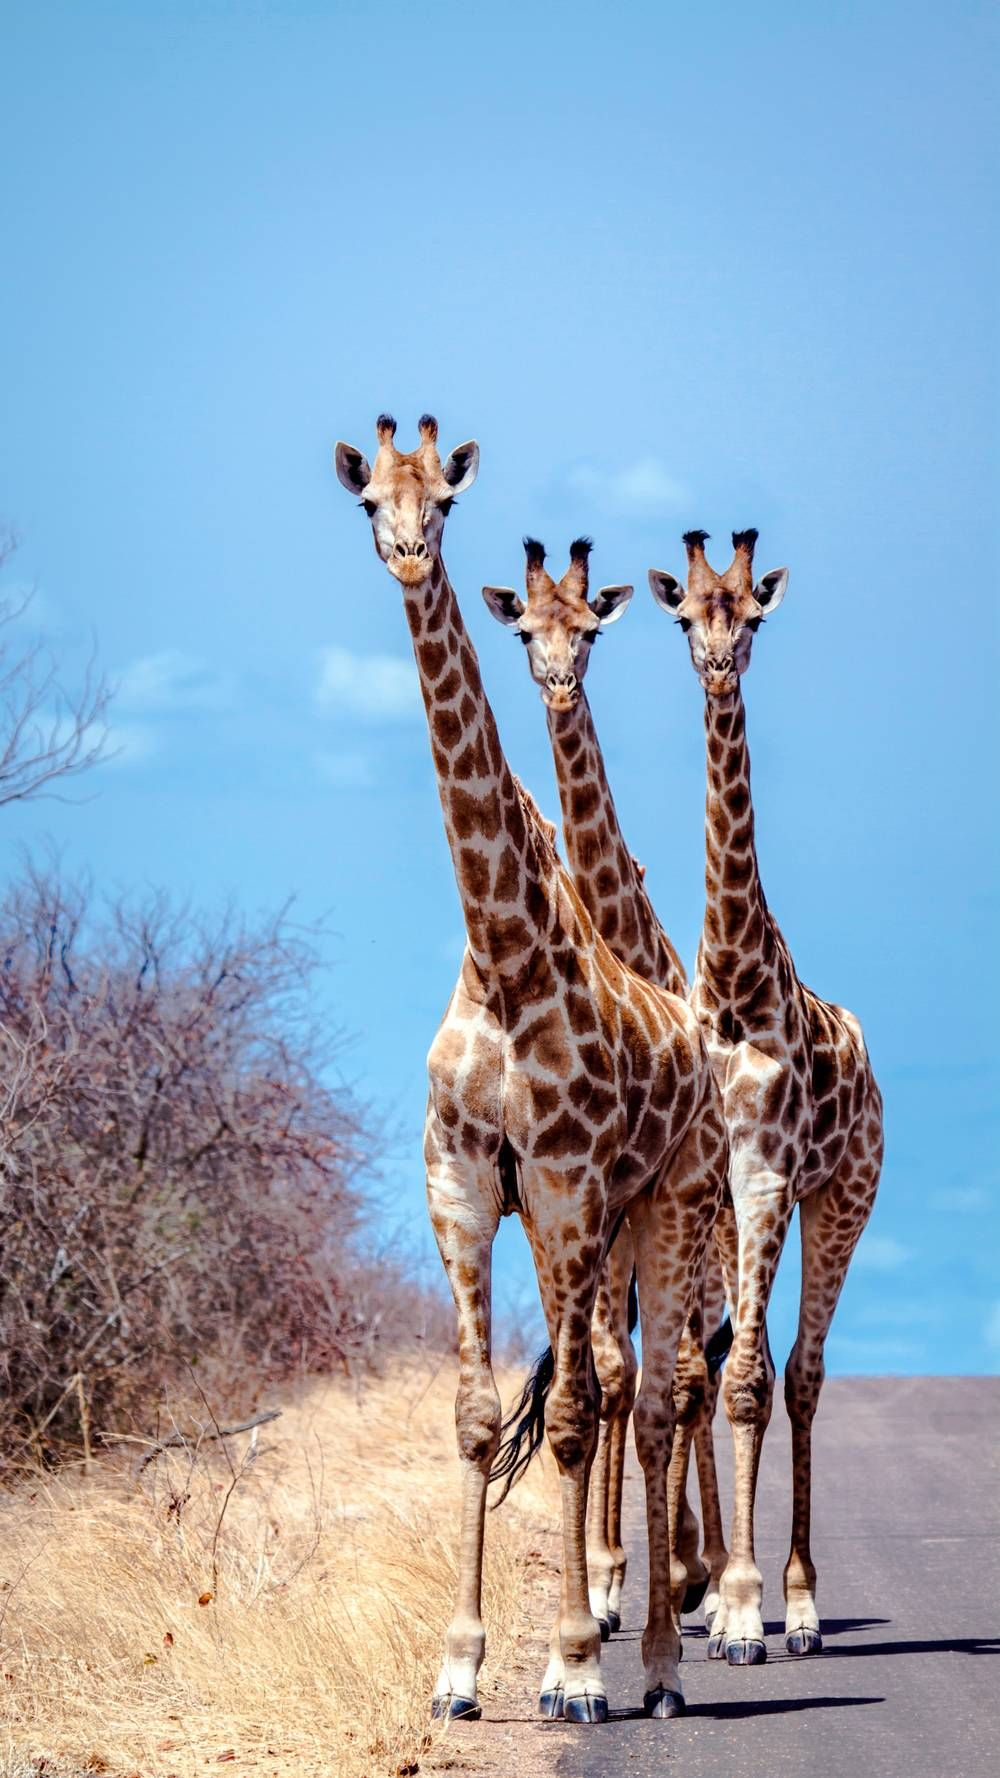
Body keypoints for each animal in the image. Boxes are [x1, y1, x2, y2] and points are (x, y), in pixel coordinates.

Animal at [334, 416, 722, 1721]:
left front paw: (572, 1664)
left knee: (645, 1396)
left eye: (446, 499)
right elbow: (470, 1415)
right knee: (622, 1385)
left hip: (670, 1201)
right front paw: (457, 1666)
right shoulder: (459, 1186)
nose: (409, 553)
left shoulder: (560, 1189)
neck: (504, 961)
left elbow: (566, 1411)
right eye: (370, 501)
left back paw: (657, 1658)